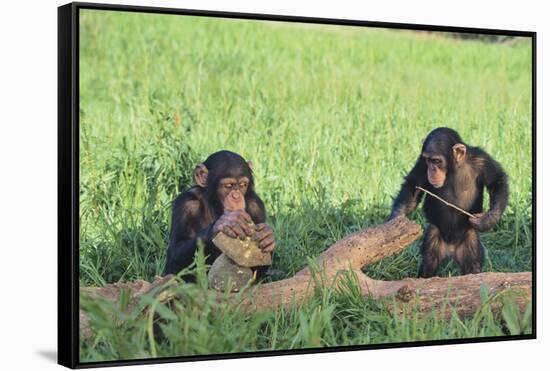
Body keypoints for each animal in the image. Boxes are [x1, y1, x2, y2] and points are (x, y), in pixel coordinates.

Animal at [164, 151, 276, 280]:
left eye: (242, 184)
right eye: (228, 186)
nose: (236, 196)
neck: (215, 206)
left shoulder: (256, 205)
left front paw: (267, 237)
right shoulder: (185, 204)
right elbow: (175, 252)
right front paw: (224, 224)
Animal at [390, 128, 512, 276]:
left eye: (436, 161)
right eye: (428, 161)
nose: (431, 169)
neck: (454, 168)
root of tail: (451, 249)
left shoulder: (482, 160)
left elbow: (497, 181)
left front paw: (488, 219)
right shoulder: (421, 162)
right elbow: (413, 183)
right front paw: (395, 222)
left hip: (469, 242)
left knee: (472, 266)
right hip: (435, 236)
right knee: (429, 263)